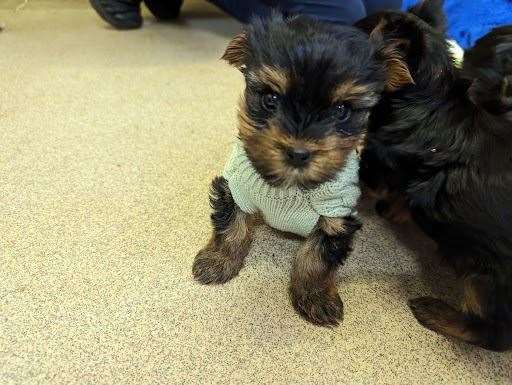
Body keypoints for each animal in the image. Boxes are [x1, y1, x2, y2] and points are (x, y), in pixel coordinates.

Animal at [192, 14, 412, 324]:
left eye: (342, 110)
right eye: (270, 99)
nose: (298, 153)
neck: (291, 186)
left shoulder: (336, 213)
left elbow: (317, 258)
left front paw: (315, 296)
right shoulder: (236, 187)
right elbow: (231, 226)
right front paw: (218, 261)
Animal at [356, 0, 512, 352]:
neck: (426, 97)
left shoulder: (376, 163)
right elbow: (401, 196)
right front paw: (395, 211)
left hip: (485, 275)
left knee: (494, 334)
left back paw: (433, 311)